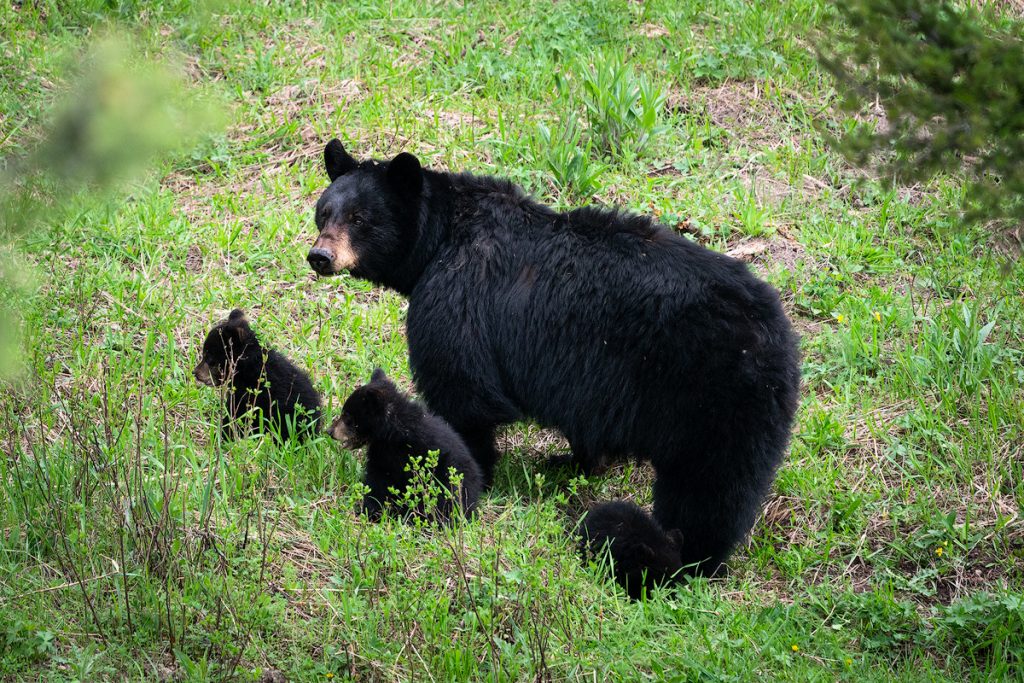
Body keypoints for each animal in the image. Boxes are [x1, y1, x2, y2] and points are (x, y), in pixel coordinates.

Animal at [192, 311, 319, 444]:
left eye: (210, 359)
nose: (195, 372)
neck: (248, 368)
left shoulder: (248, 394)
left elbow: (236, 416)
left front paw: (224, 437)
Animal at [331, 368, 483, 524]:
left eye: (347, 417)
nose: (330, 431)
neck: (392, 427)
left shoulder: (389, 453)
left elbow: (378, 481)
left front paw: (368, 512)